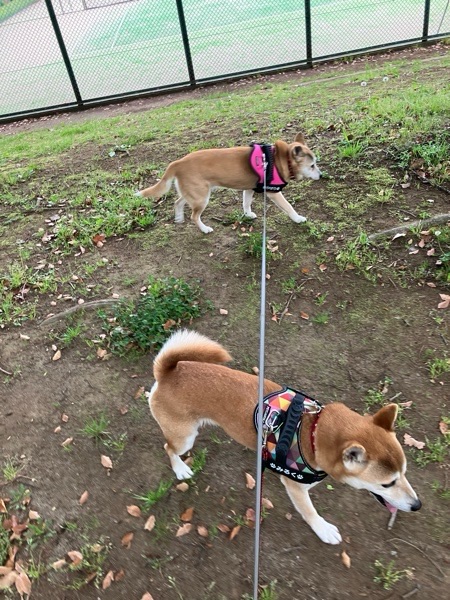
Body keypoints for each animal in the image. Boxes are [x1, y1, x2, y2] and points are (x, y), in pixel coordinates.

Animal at [136, 133, 321, 233]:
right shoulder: (273, 192)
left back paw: (179, 217)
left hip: (194, 193)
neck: (278, 160)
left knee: (178, 202)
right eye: (312, 166)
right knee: (194, 216)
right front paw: (298, 218)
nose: (321, 175)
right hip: (202, 198)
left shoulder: (249, 188)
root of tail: (179, 162)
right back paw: (204, 229)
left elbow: (246, 203)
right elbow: (288, 207)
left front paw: (247, 215)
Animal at [147, 330, 421, 545]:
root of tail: (168, 373)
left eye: (405, 473)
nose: (417, 505)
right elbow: (309, 511)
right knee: (168, 447)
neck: (312, 431)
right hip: (185, 437)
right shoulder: (296, 487)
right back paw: (180, 469)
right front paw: (323, 529)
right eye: (387, 484)